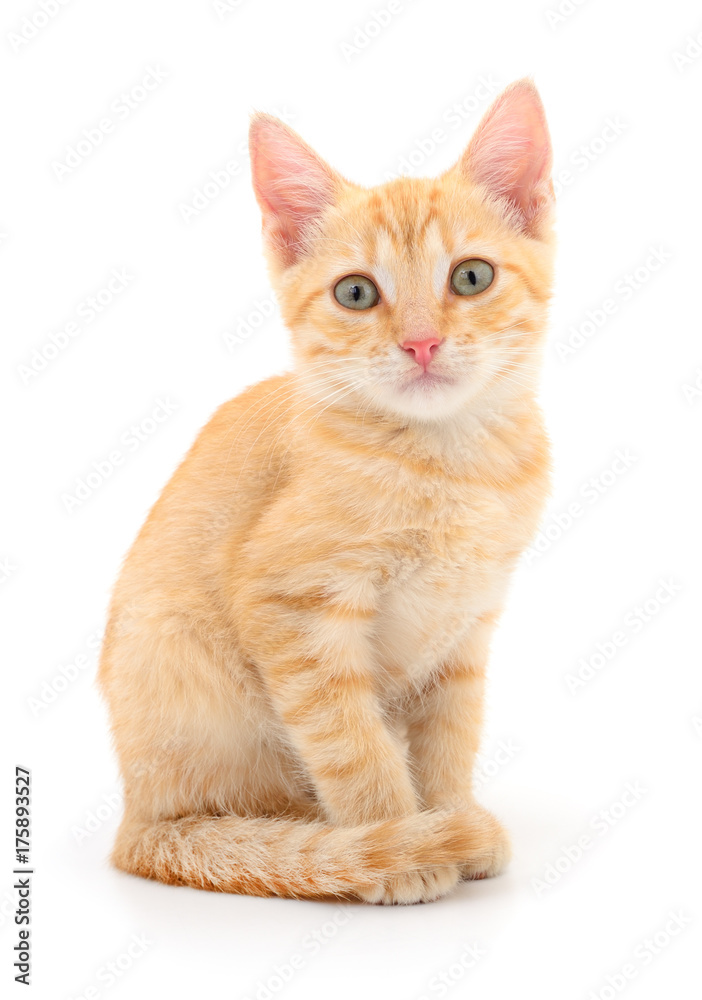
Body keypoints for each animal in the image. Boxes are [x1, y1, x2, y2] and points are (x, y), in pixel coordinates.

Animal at [99, 80, 560, 908]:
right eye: (356, 293)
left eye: (471, 277)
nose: (420, 343)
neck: (450, 463)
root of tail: (134, 818)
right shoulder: (293, 607)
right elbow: (351, 741)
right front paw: (398, 841)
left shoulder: (468, 624)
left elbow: (451, 736)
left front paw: (447, 813)